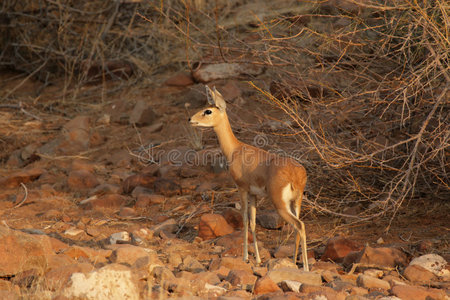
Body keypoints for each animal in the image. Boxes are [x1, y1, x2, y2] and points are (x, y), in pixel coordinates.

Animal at [190, 85, 310, 270]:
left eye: (208, 111)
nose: (190, 119)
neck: (235, 149)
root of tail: (296, 173)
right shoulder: (254, 194)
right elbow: (253, 222)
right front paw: (258, 260)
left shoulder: (242, 188)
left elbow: (245, 220)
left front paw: (246, 257)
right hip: (296, 202)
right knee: (298, 227)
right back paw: (293, 262)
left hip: (280, 204)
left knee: (300, 225)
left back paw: (305, 267)